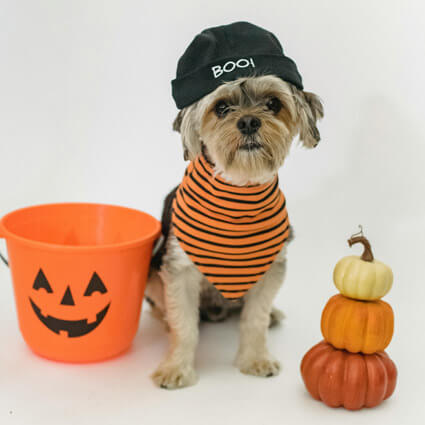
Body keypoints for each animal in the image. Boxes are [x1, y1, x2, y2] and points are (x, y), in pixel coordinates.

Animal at [145, 73, 322, 388]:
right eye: (222, 108)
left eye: (273, 104)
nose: (249, 121)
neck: (239, 193)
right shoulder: (179, 270)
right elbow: (184, 326)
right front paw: (175, 368)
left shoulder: (271, 269)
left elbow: (255, 320)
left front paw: (256, 359)